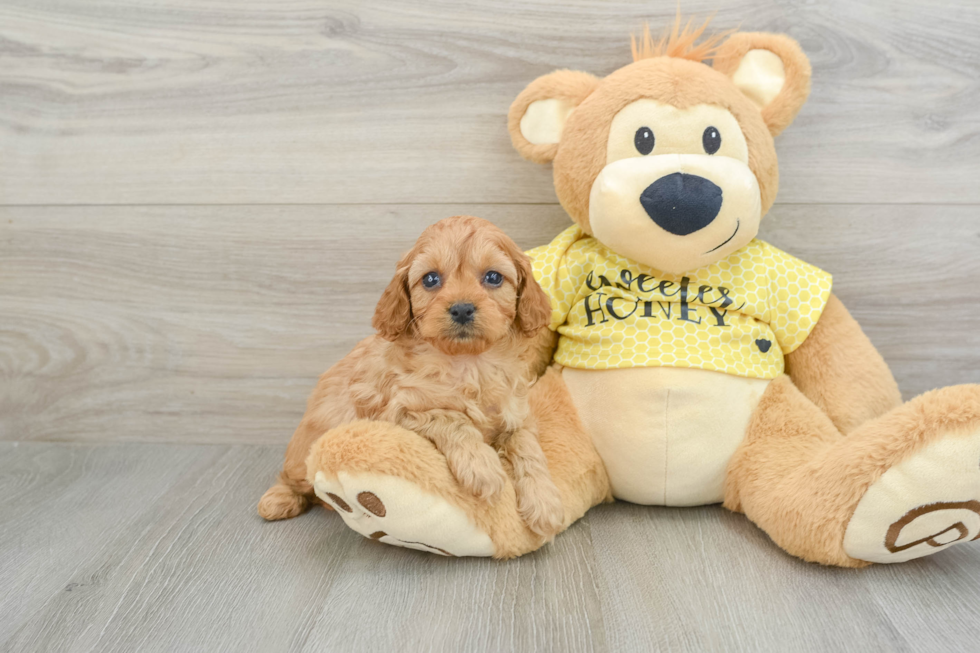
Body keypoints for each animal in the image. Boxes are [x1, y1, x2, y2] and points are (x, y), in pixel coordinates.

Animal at [260, 214, 564, 536]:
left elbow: (528, 448)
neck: (468, 362)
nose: (462, 309)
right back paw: (278, 500)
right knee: (293, 479)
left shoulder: (516, 415)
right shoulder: (398, 410)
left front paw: (545, 503)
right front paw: (482, 468)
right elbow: (452, 418)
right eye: (430, 279)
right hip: (304, 450)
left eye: (493, 277)